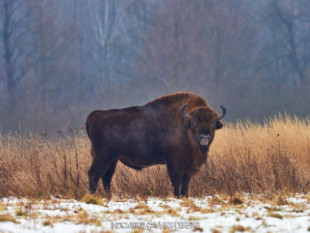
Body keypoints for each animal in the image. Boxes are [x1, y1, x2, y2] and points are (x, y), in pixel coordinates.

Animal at [86, 92, 226, 198]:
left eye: (213, 123)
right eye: (195, 123)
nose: (205, 137)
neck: (185, 126)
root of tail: (95, 114)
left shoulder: (188, 167)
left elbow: (185, 184)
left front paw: (185, 196)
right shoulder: (174, 164)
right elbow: (177, 182)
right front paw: (177, 196)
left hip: (112, 159)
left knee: (106, 177)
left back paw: (108, 196)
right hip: (103, 156)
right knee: (94, 174)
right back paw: (92, 196)